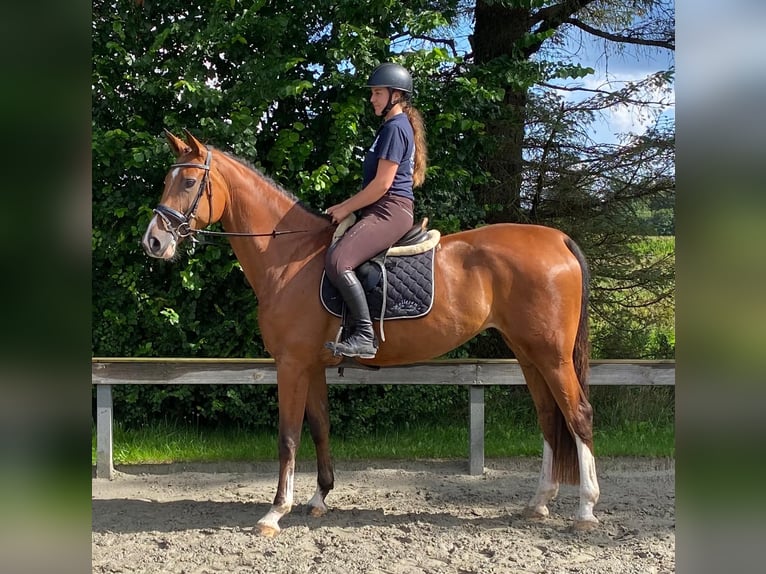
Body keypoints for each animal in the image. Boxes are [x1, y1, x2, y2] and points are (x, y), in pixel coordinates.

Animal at [141, 129, 600, 536]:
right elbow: (320, 427)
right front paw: (319, 499)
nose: (154, 241)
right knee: (549, 418)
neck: (289, 256)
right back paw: (539, 503)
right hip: (529, 354)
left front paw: (275, 512)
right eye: (166, 180)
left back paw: (586, 510)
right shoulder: (313, 365)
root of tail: (558, 240)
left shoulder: (291, 365)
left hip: (551, 356)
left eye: (188, 182)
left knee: (578, 414)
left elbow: (288, 436)